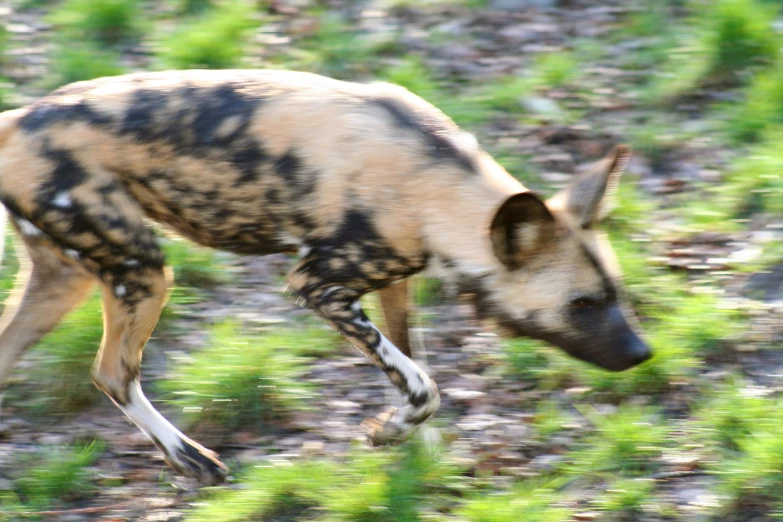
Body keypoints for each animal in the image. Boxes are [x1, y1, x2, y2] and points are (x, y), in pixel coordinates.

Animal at [0, 69, 652, 484]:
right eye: (582, 305)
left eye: (615, 294)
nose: (643, 354)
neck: (438, 188)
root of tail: (16, 119)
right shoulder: (321, 288)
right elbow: (424, 385)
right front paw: (390, 434)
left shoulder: (395, 285)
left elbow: (415, 372)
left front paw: (415, 448)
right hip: (145, 271)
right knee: (114, 371)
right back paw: (192, 460)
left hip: (68, 279)